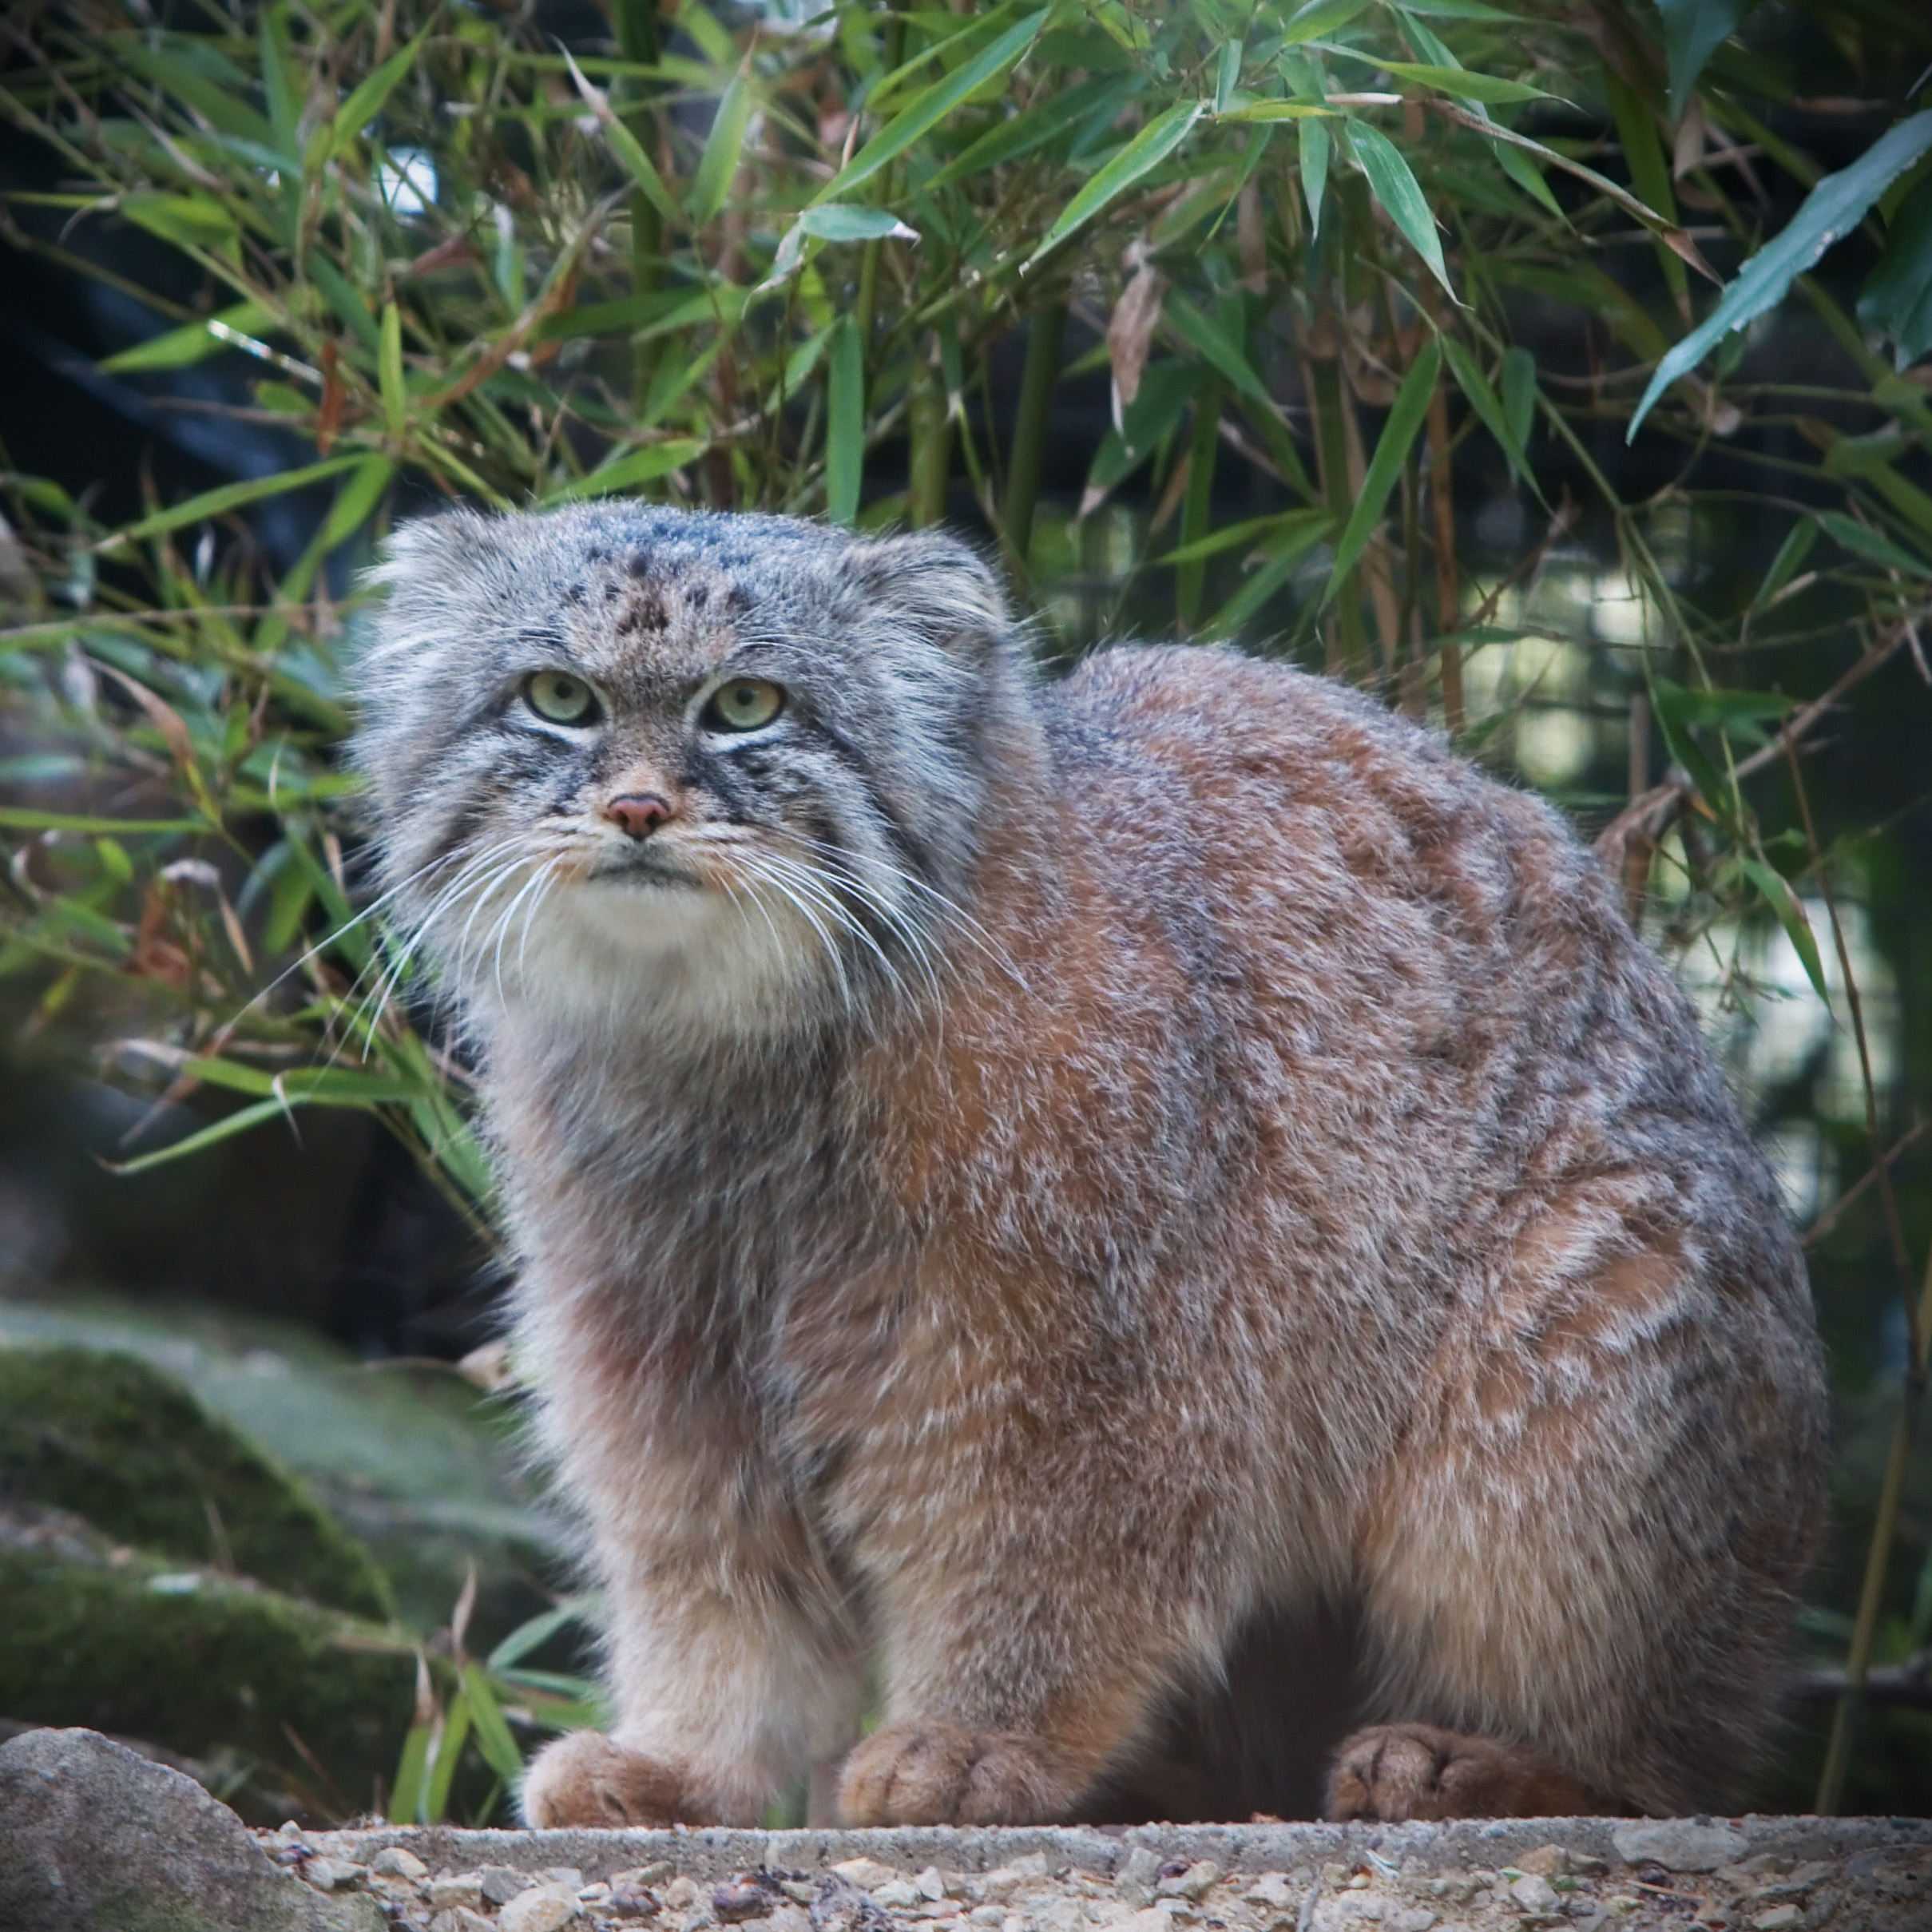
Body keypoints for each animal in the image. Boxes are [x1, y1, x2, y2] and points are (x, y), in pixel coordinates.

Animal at [355, 502, 1815, 1823]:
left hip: (1564, 1363)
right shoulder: (663, 1357)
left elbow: (1041, 1559)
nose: (638, 806)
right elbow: (717, 1587)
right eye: (557, 698)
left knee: (1664, 1767)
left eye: (747, 705)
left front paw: (975, 1737)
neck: (743, 1063)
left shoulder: (1088, 1362)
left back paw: (1492, 1760)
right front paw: (688, 1762)